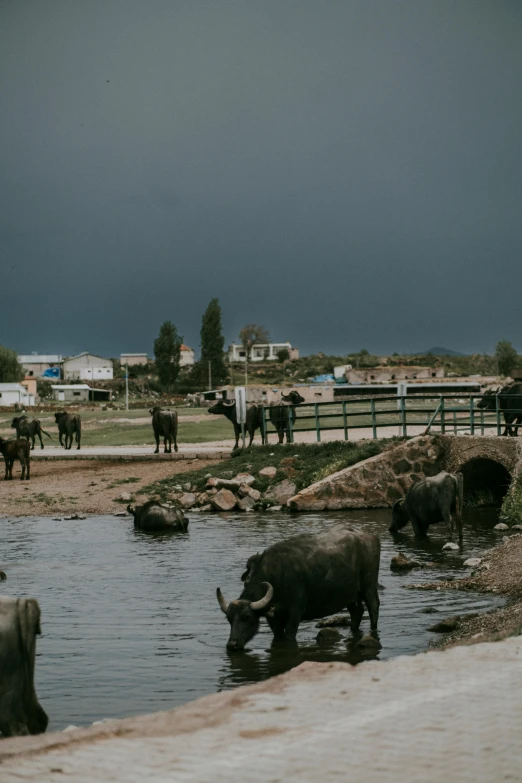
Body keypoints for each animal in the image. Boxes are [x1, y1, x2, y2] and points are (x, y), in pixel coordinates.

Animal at [215, 528, 378, 648]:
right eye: (229, 618)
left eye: (247, 617)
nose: (232, 645)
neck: (277, 575)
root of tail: (370, 537)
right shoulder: (273, 618)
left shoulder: (295, 612)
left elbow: (289, 635)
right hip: (349, 595)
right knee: (357, 611)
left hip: (369, 585)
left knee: (373, 606)